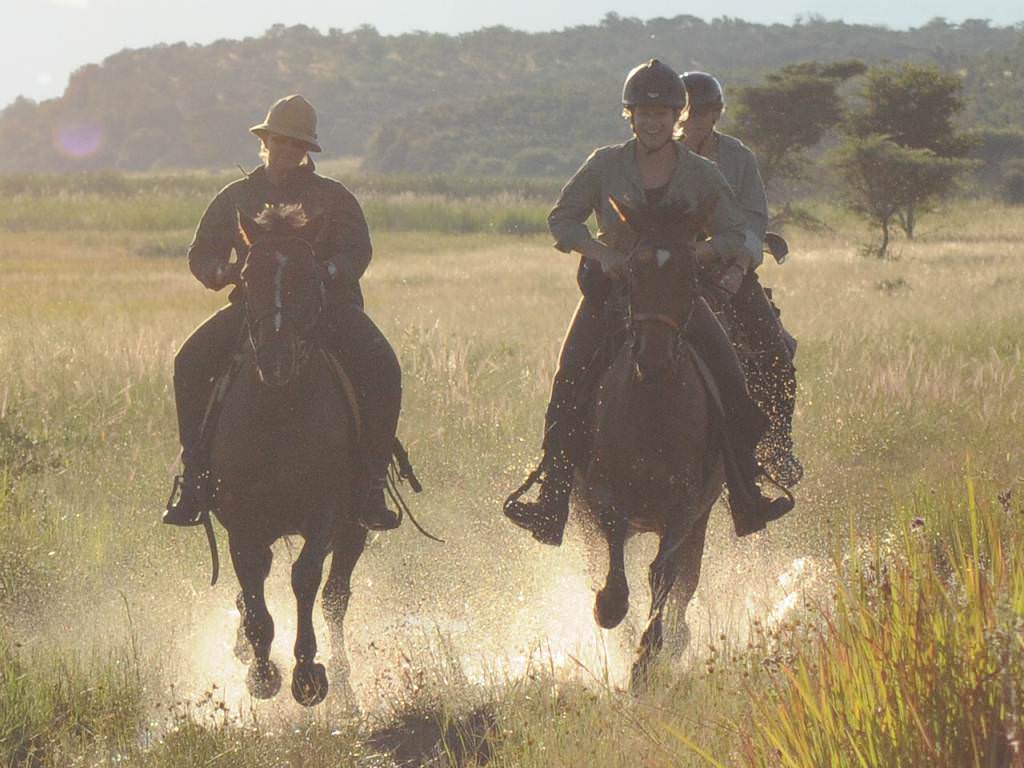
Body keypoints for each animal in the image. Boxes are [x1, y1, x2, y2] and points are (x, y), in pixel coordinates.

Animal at [207, 204, 366, 707]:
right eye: (246, 275)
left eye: (309, 276)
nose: (275, 359)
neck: (278, 412)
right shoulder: (242, 521)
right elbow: (253, 584)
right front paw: (261, 673)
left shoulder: (324, 514)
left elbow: (305, 579)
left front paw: (307, 674)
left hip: (354, 529)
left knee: (336, 597)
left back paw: (345, 684)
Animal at [576, 197, 726, 689]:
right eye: (633, 272)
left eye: (690, 275)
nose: (653, 357)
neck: (651, 411)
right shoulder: (601, 497)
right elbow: (614, 568)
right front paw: (611, 611)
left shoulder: (684, 509)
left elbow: (664, 576)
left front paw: (648, 657)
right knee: (599, 563)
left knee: (684, 581)